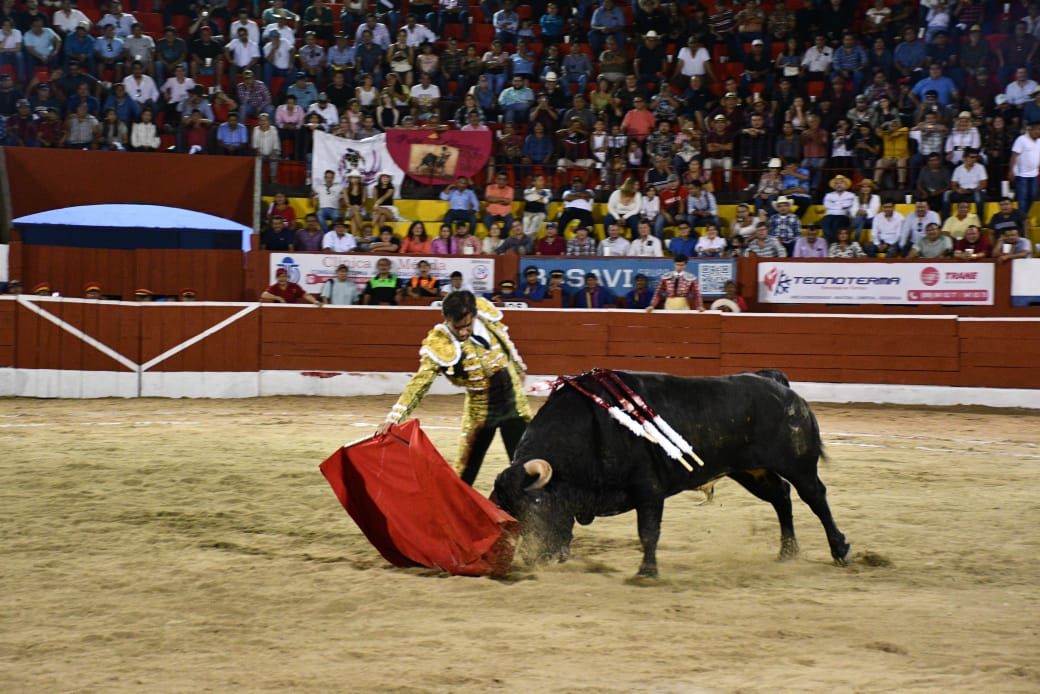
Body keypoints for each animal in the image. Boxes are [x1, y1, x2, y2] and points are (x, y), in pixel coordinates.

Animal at [490, 372, 848, 578]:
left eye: (536, 503)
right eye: (510, 510)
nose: (535, 558)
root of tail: (783, 388)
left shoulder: (648, 489)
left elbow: (648, 531)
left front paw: (647, 572)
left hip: (798, 465)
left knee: (815, 498)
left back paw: (839, 550)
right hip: (749, 471)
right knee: (781, 496)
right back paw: (787, 552)